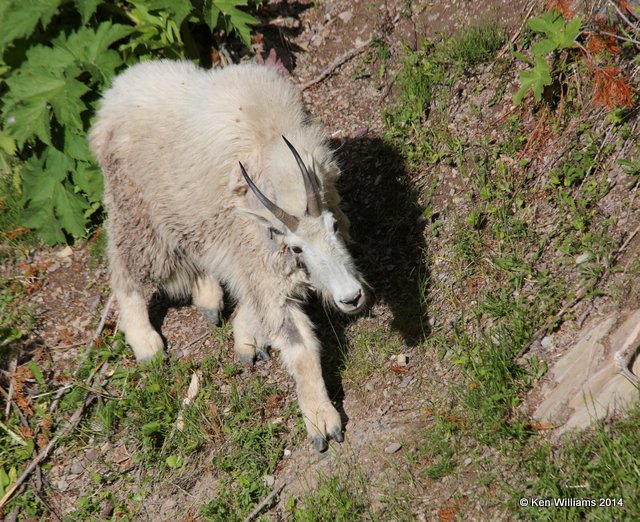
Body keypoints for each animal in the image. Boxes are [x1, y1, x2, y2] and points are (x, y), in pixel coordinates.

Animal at [92, 61, 368, 448]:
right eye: (297, 246)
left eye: (332, 226)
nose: (351, 297)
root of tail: (114, 94)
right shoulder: (260, 255)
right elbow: (299, 346)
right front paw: (322, 422)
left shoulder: (252, 253)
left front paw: (246, 337)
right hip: (136, 212)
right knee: (124, 270)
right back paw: (146, 343)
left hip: (184, 214)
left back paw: (209, 298)